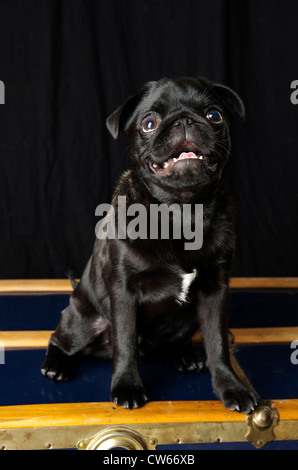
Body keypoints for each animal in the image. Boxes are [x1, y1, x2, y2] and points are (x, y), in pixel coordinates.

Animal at [41, 78, 258, 414]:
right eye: (149, 123)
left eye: (214, 115)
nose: (184, 120)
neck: (181, 212)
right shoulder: (124, 292)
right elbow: (126, 343)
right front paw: (128, 386)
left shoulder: (216, 291)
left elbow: (218, 343)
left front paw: (231, 387)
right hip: (83, 321)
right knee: (60, 339)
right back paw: (56, 365)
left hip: (187, 319)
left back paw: (186, 354)